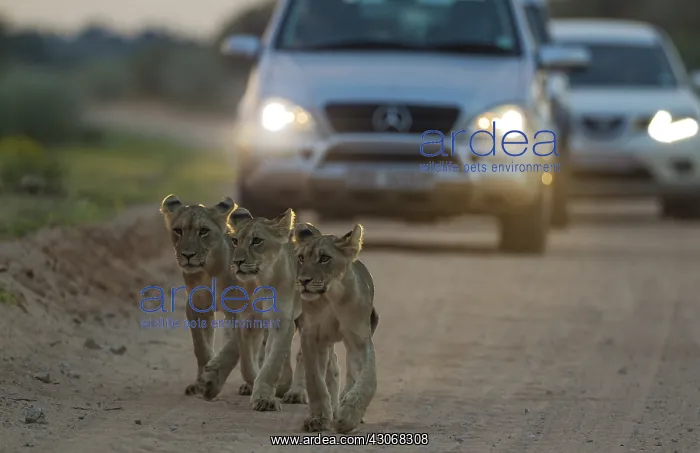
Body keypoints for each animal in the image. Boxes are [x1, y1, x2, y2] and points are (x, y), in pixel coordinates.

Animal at [226, 207, 307, 410]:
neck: (260, 282)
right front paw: (255, 384)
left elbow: (273, 363)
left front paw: (265, 398)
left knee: (303, 355)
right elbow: (247, 364)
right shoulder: (246, 321)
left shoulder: (283, 322)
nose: (237, 262)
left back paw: (296, 393)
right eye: (235, 241)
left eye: (256, 241)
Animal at [292, 222, 379, 434]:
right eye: (301, 258)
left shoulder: (359, 339)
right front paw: (319, 418)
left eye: (324, 258)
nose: (303, 281)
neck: (331, 297)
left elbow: (367, 380)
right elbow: (315, 381)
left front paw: (348, 416)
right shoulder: (311, 338)